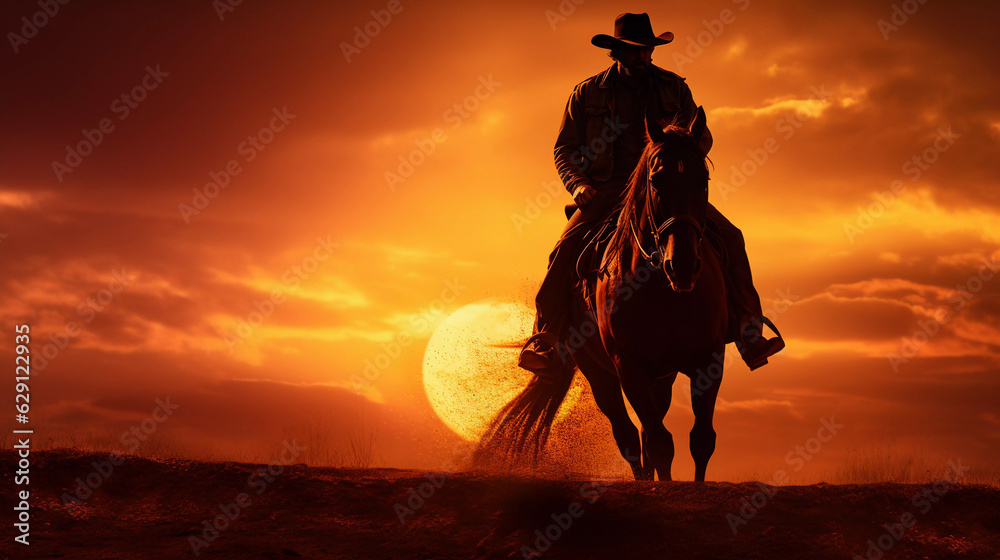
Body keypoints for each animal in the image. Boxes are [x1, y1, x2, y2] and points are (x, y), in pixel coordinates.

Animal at [472, 109, 724, 482]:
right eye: (656, 181)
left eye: (702, 179)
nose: (681, 265)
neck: (665, 293)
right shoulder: (629, 367)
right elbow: (659, 443)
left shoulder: (709, 360)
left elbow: (701, 440)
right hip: (599, 374)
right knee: (630, 437)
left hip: (661, 378)